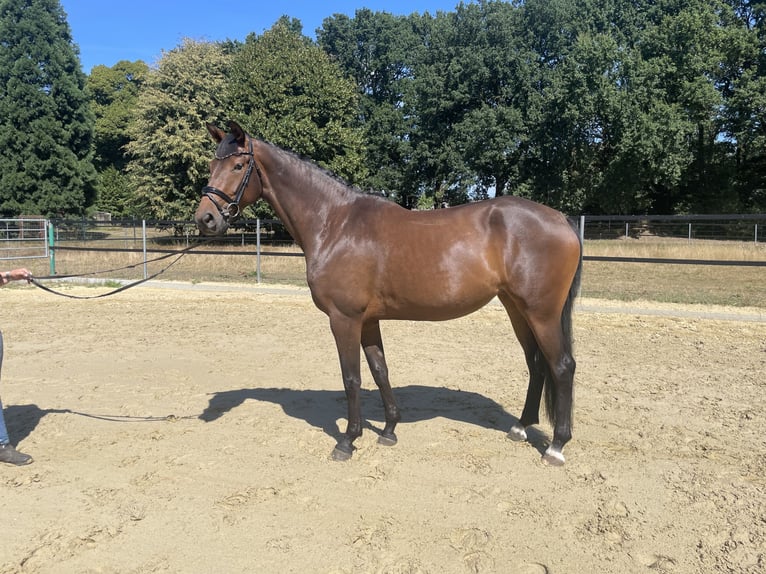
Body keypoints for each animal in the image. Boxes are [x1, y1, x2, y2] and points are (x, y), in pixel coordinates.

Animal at [194, 121, 583, 466]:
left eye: (238, 165)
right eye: (212, 165)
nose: (205, 219)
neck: (335, 224)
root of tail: (561, 220)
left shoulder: (344, 319)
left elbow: (351, 378)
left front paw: (348, 441)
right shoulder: (367, 321)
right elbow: (380, 370)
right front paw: (389, 430)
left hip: (542, 312)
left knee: (562, 366)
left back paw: (556, 447)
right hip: (517, 308)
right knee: (536, 364)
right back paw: (520, 428)